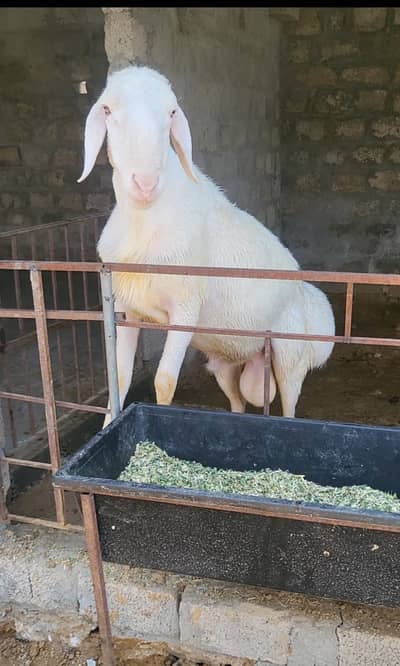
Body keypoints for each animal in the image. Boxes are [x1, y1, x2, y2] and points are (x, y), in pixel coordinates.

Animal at [77, 65, 335, 427]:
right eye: (107, 110)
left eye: (171, 112)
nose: (145, 183)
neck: (144, 221)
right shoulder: (126, 309)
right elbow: (121, 378)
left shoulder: (185, 308)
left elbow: (164, 381)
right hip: (226, 363)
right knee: (238, 402)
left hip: (291, 355)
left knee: (290, 405)